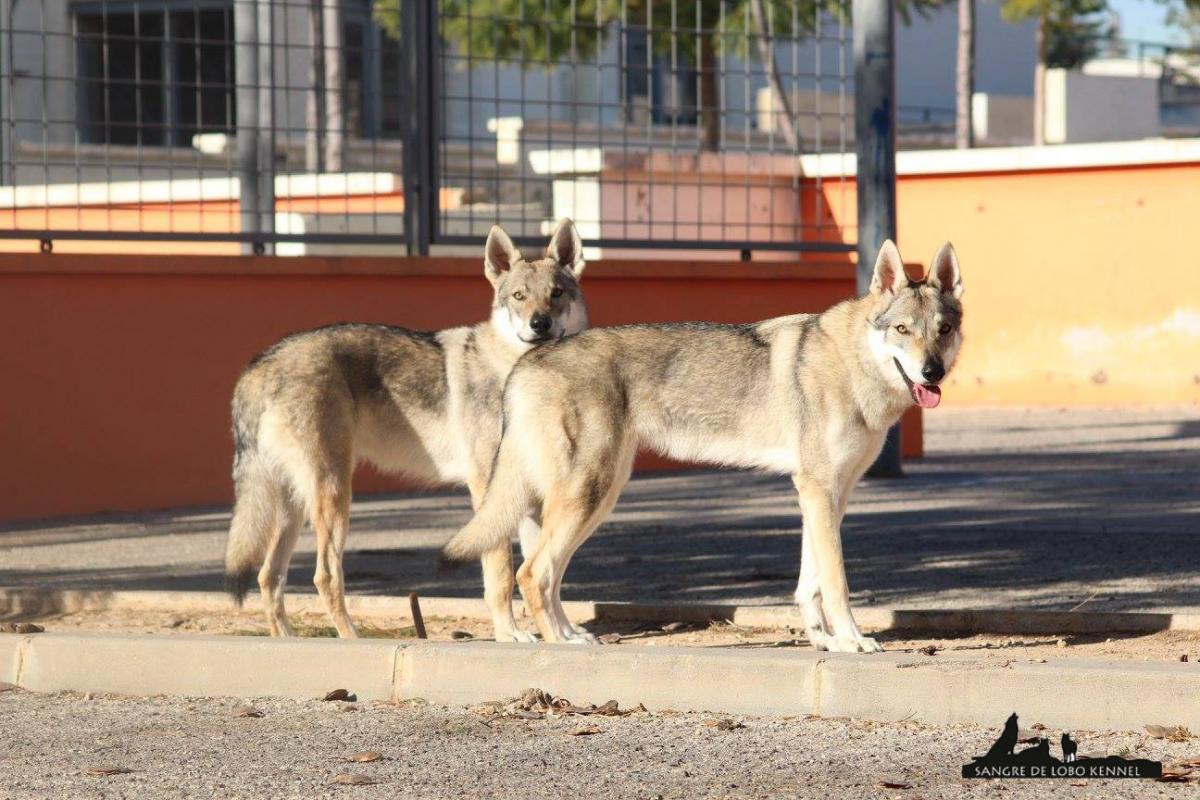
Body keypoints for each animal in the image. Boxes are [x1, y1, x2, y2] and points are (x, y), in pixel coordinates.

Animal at [225, 220, 590, 642]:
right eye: (519, 296)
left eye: (556, 293)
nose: (539, 323)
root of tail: (259, 364)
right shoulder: (488, 489)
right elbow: (502, 573)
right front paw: (510, 635)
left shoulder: (530, 496)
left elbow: (547, 574)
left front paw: (566, 634)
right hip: (334, 496)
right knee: (324, 577)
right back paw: (352, 640)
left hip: (296, 505)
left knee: (269, 577)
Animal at [444, 241, 964, 652]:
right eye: (902, 330)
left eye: (943, 330)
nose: (932, 373)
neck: (851, 364)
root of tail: (528, 360)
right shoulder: (818, 490)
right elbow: (836, 581)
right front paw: (853, 640)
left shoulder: (828, 495)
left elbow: (810, 582)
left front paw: (825, 640)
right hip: (586, 496)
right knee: (533, 574)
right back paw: (559, 646)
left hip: (597, 498)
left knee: (547, 575)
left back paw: (573, 635)